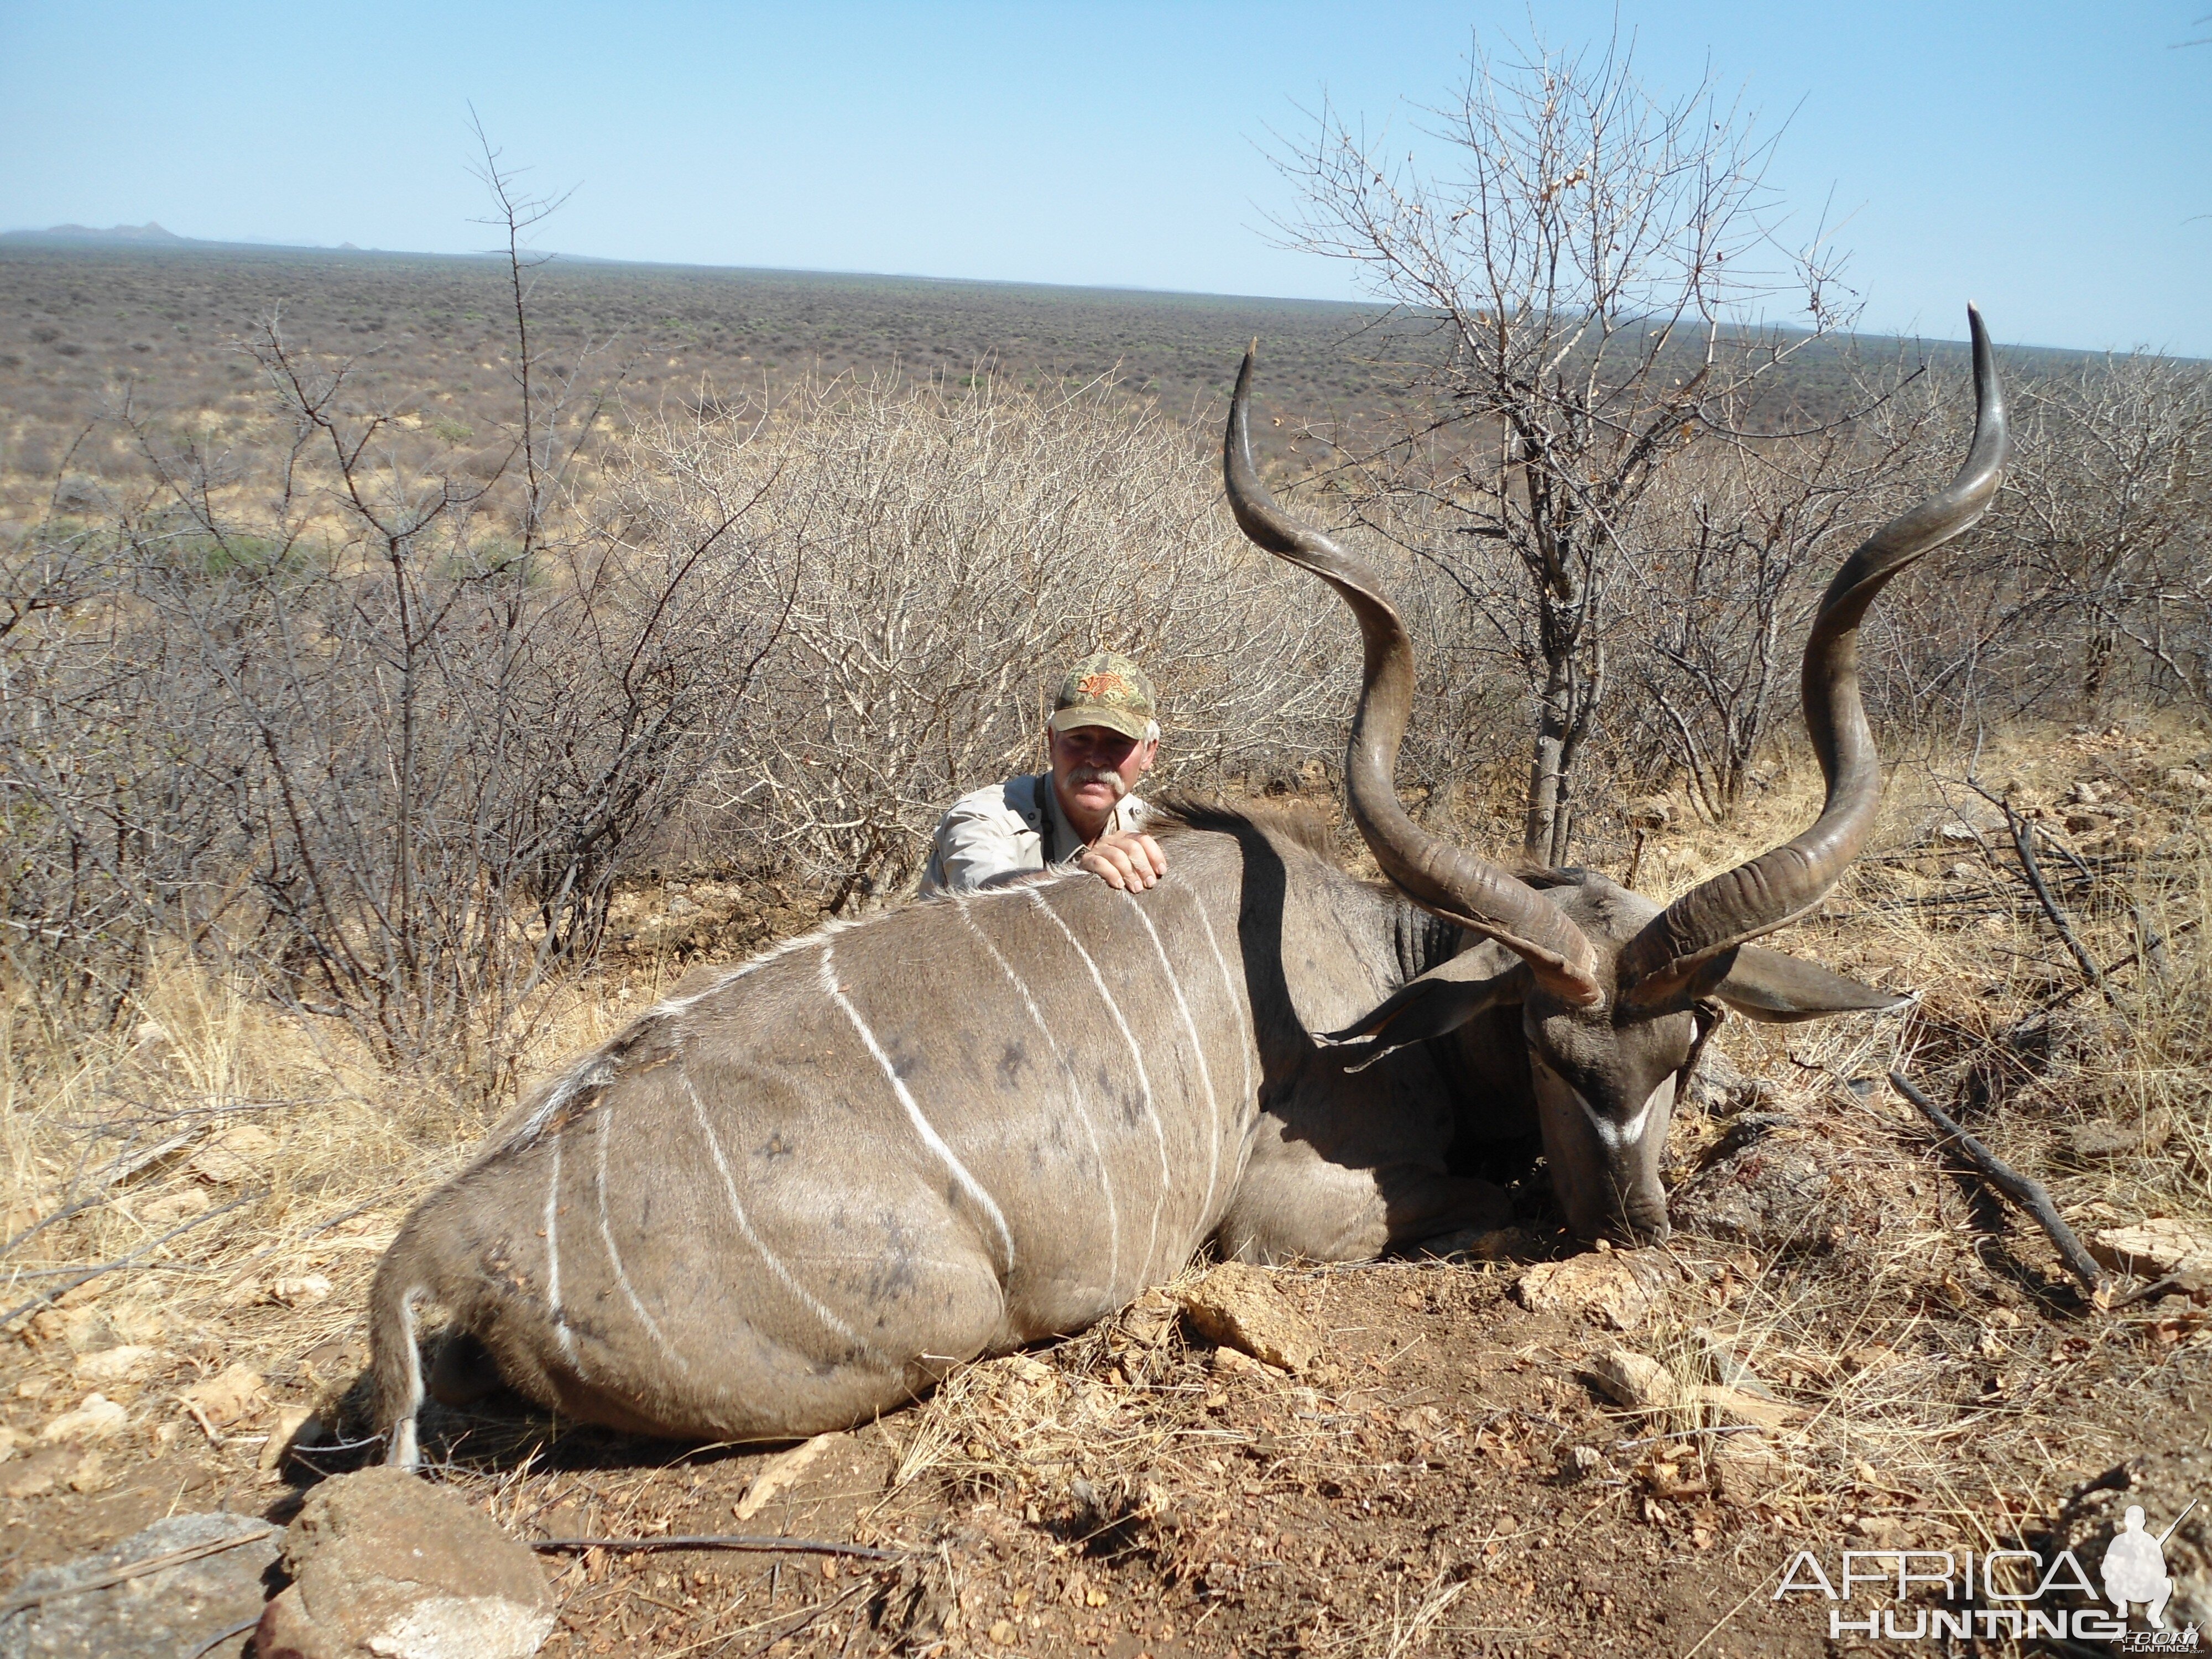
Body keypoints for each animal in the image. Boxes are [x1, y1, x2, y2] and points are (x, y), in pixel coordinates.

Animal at [376, 305, 2008, 1460]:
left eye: (1692, 1039)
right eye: (1549, 1048)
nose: (1629, 1220)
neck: (1389, 973)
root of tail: (430, 1256)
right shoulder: (1289, 1217)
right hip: (948, 1311)